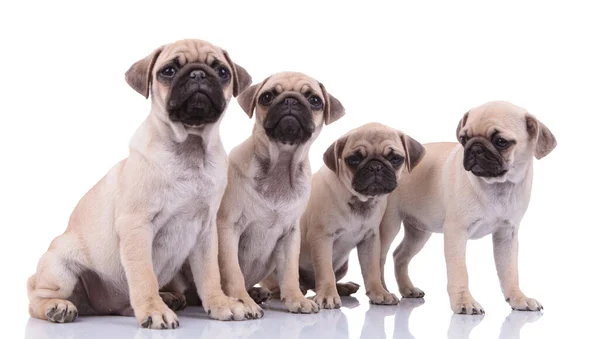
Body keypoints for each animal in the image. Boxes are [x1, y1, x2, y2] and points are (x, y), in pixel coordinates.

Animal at [27, 39, 253, 330]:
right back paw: (58, 307)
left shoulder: (206, 232)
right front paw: (154, 311)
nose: (198, 74)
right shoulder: (137, 225)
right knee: (36, 298)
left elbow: (210, 275)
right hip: (61, 269)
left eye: (222, 71)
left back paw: (167, 297)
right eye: (168, 71)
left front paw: (221, 304)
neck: (189, 147)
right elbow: (144, 275)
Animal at [218, 73, 344, 318]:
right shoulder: (228, 227)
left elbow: (290, 273)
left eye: (315, 100)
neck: (280, 165)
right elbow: (233, 271)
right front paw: (243, 301)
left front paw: (296, 299)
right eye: (267, 97)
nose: (290, 99)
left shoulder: (289, 236)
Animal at [292, 123, 424, 310]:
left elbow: (372, 270)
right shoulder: (322, 238)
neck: (360, 201)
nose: (375, 166)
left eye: (395, 159)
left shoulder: (370, 239)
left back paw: (343, 287)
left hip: (343, 266)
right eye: (353, 160)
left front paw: (379, 293)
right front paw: (327, 295)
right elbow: (325, 270)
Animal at [380, 101, 556, 316]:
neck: (497, 185)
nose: (475, 148)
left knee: (400, 256)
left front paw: (518, 298)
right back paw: (382, 293)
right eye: (464, 139)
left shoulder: (507, 235)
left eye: (501, 142)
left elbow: (510, 271)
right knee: (379, 259)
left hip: (419, 233)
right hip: (388, 226)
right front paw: (464, 302)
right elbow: (460, 270)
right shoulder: (456, 232)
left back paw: (407, 289)